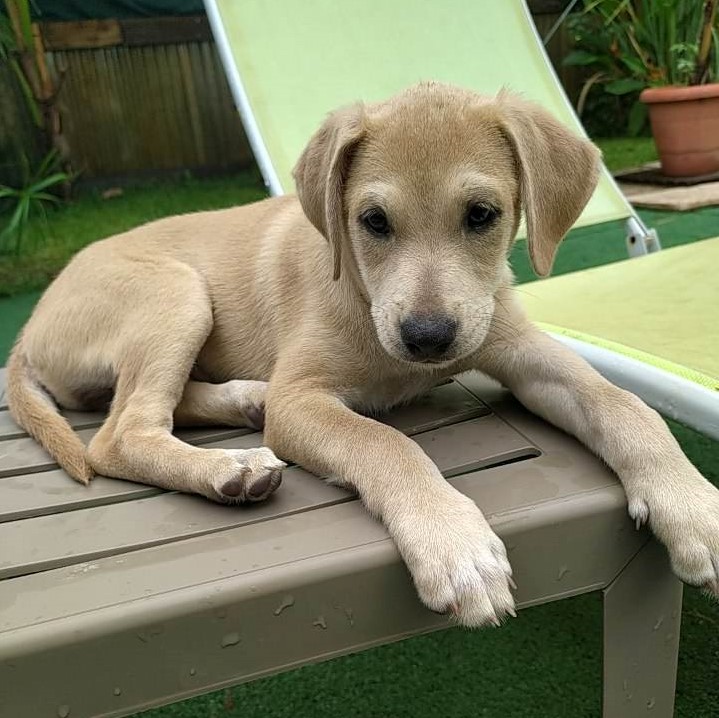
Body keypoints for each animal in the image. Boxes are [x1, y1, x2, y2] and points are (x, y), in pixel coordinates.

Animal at [7, 81, 719, 628]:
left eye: (482, 214)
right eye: (373, 222)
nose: (427, 338)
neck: (364, 297)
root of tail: (28, 327)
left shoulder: (517, 346)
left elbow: (622, 404)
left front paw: (692, 506)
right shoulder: (301, 399)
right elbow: (383, 442)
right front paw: (453, 542)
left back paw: (244, 401)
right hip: (175, 293)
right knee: (119, 433)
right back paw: (232, 467)